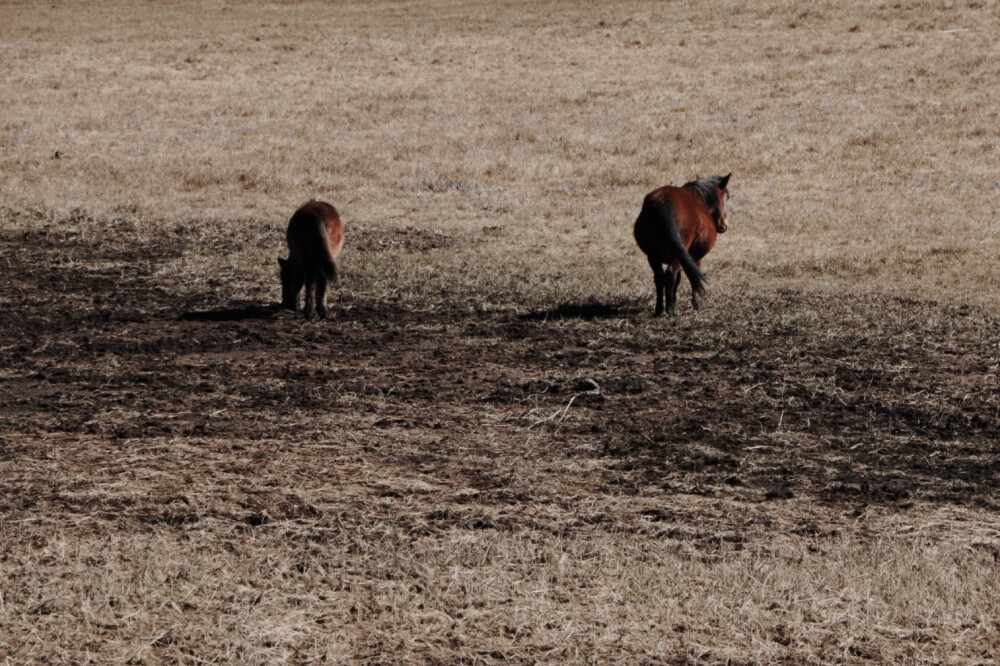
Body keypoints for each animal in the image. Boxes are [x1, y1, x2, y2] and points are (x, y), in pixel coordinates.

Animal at [636, 174, 732, 314]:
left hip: (653, 255)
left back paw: (659, 309)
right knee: (670, 274)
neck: (699, 197)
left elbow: (679, 278)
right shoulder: (695, 257)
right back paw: (670, 311)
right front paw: (695, 304)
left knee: (659, 277)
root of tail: (664, 202)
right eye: (727, 196)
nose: (724, 225)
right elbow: (694, 277)